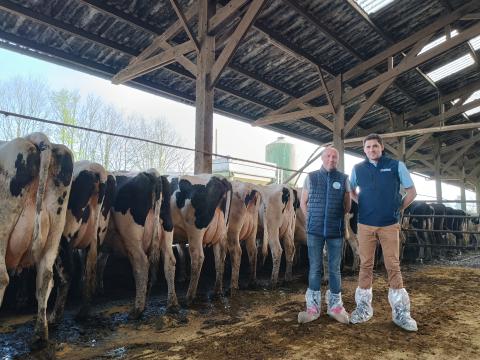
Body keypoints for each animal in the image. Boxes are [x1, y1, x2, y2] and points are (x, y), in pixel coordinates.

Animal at [0, 132, 73, 346]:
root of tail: (38, 138)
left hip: (3, 223)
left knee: (2, 277)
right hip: (55, 229)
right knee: (46, 276)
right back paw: (41, 333)